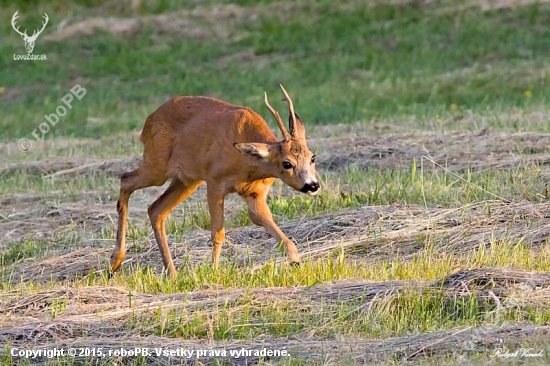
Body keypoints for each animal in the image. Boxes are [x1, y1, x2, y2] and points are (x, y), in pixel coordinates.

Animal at [110, 83, 320, 278]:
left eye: (312, 157)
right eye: (287, 163)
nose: (312, 185)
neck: (248, 167)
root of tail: (148, 122)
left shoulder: (255, 192)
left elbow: (260, 218)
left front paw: (295, 259)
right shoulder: (214, 181)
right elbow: (218, 233)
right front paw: (214, 270)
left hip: (187, 179)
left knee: (155, 210)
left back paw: (172, 273)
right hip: (157, 165)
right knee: (126, 179)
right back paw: (115, 261)